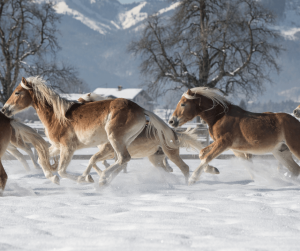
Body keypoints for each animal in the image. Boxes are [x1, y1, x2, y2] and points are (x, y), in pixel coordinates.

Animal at [2, 76, 180, 186]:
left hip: (114, 137)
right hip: (123, 141)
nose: (4, 109)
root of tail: (141, 109)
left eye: (17, 92)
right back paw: (104, 180)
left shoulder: (68, 148)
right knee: (122, 160)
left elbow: (62, 170)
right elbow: (41, 159)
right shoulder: (57, 147)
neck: (57, 116)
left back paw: (102, 178)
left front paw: (84, 179)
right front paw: (52, 178)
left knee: (123, 159)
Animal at [75, 92, 220, 182]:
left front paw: (96, 177)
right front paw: (100, 175)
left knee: (184, 168)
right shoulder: (111, 153)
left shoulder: (109, 150)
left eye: (82, 103)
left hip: (170, 153)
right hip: (155, 158)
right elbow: (99, 162)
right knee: (166, 169)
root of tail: (173, 133)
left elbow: (94, 159)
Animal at [168, 88, 300, 184]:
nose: (171, 121)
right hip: (281, 152)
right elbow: (202, 153)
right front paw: (214, 170)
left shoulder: (224, 143)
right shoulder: (223, 144)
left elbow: (207, 157)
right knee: (295, 169)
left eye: (183, 104)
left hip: (294, 149)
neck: (219, 117)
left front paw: (193, 179)